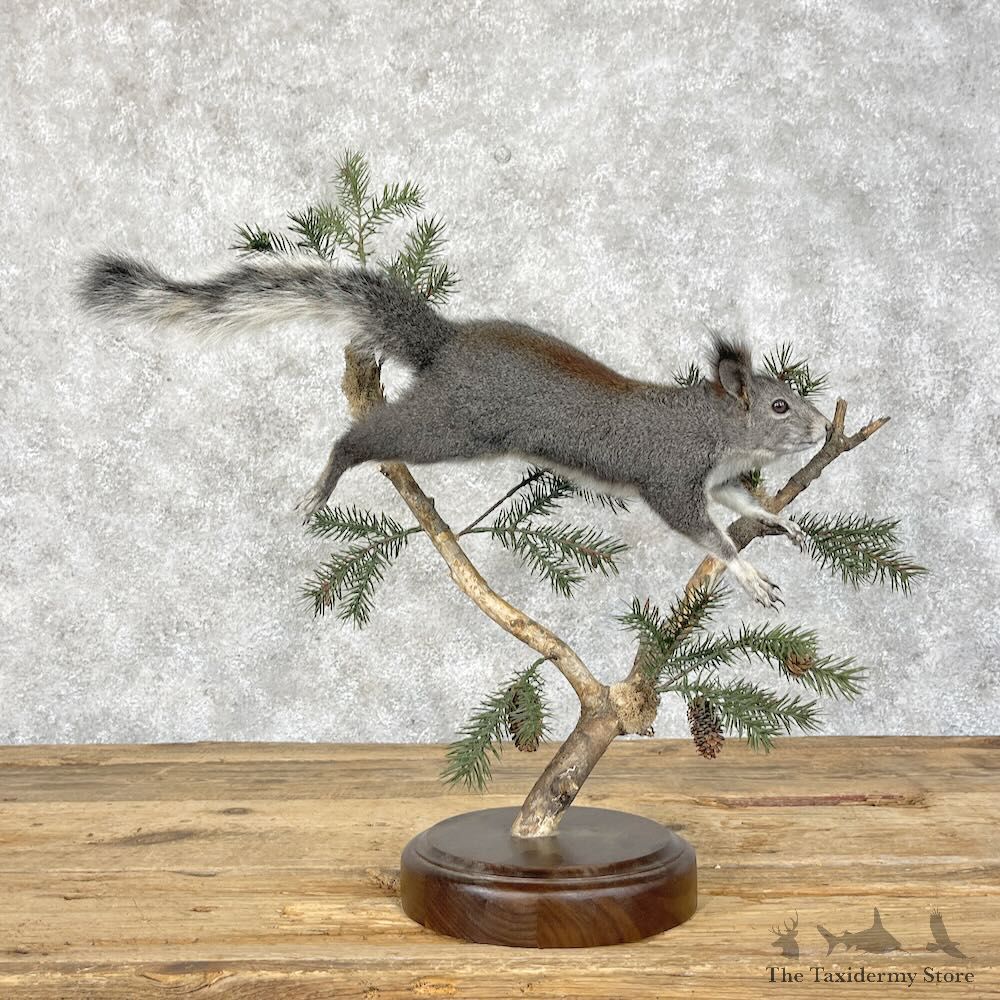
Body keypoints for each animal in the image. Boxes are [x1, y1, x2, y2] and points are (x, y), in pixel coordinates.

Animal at [78, 252, 832, 609]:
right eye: (780, 407)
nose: (825, 429)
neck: (714, 427)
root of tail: (445, 345)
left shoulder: (719, 476)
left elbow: (737, 501)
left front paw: (779, 518)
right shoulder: (671, 474)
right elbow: (703, 531)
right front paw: (748, 573)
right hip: (448, 427)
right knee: (360, 441)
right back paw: (323, 483)